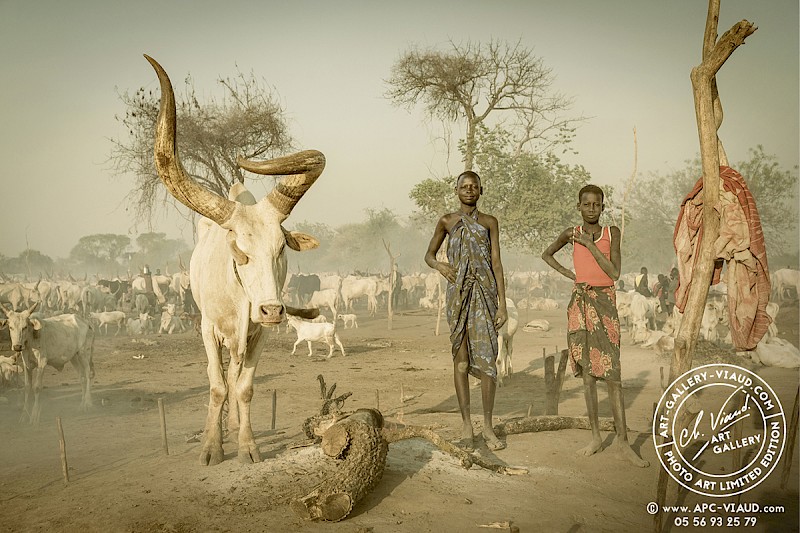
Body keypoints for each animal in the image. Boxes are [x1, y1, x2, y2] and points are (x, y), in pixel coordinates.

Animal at [146, 55, 323, 465]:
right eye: (240, 253)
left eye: (281, 248)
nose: (272, 310)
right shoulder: (207, 328)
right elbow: (215, 386)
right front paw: (212, 448)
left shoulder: (259, 335)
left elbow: (243, 388)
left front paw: (247, 445)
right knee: (222, 380)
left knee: (234, 378)